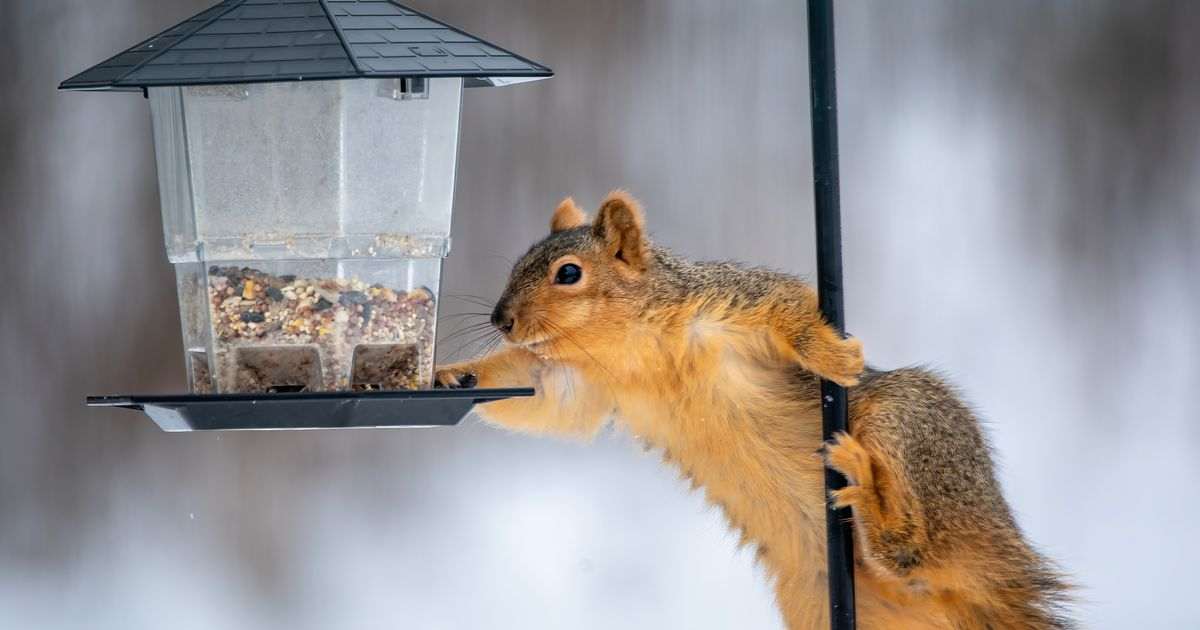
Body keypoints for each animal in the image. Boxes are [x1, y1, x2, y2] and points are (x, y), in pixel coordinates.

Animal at [435, 191, 1073, 630]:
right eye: (517, 263)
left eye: (568, 272)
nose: (501, 320)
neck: (630, 347)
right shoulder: (585, 383)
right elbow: (545, 399)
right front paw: (453, 375)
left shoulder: (733, 300)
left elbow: (789, 306)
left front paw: (830, 353)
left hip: (907, 419)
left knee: (910, 550)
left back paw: (865, 488)